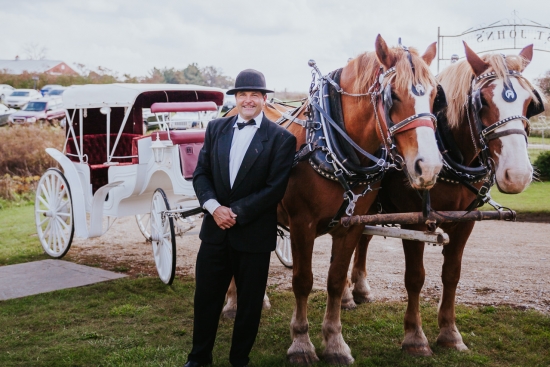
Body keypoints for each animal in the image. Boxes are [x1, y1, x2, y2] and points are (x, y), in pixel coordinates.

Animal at [350, 42, 544, 356]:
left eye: (530, 104)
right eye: (482, 103)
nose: (517, 175)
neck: (448, 150)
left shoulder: (466, 222)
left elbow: (452, 274)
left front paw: (450, 334)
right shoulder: (414, 221)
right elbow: (415, 277)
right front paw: (415, 337)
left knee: (361, 237)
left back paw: (359, 290)